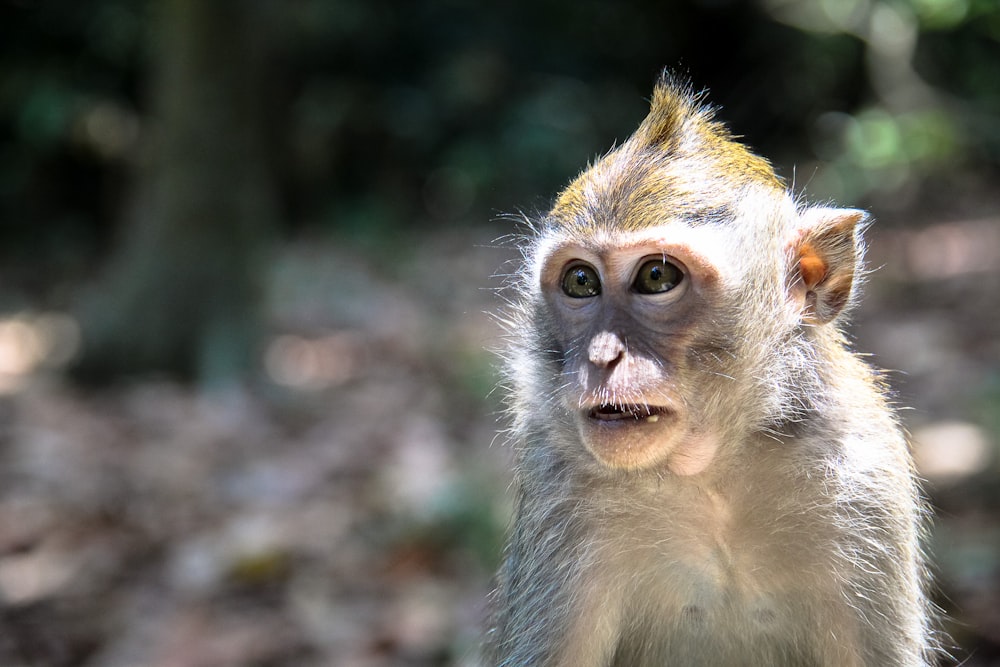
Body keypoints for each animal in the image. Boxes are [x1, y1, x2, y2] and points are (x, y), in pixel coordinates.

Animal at [488, 73, 940, 667]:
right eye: (581, 281)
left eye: (656, 277)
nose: (602, 356)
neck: (711, 472)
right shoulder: (560, 486)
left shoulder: (865, 480)